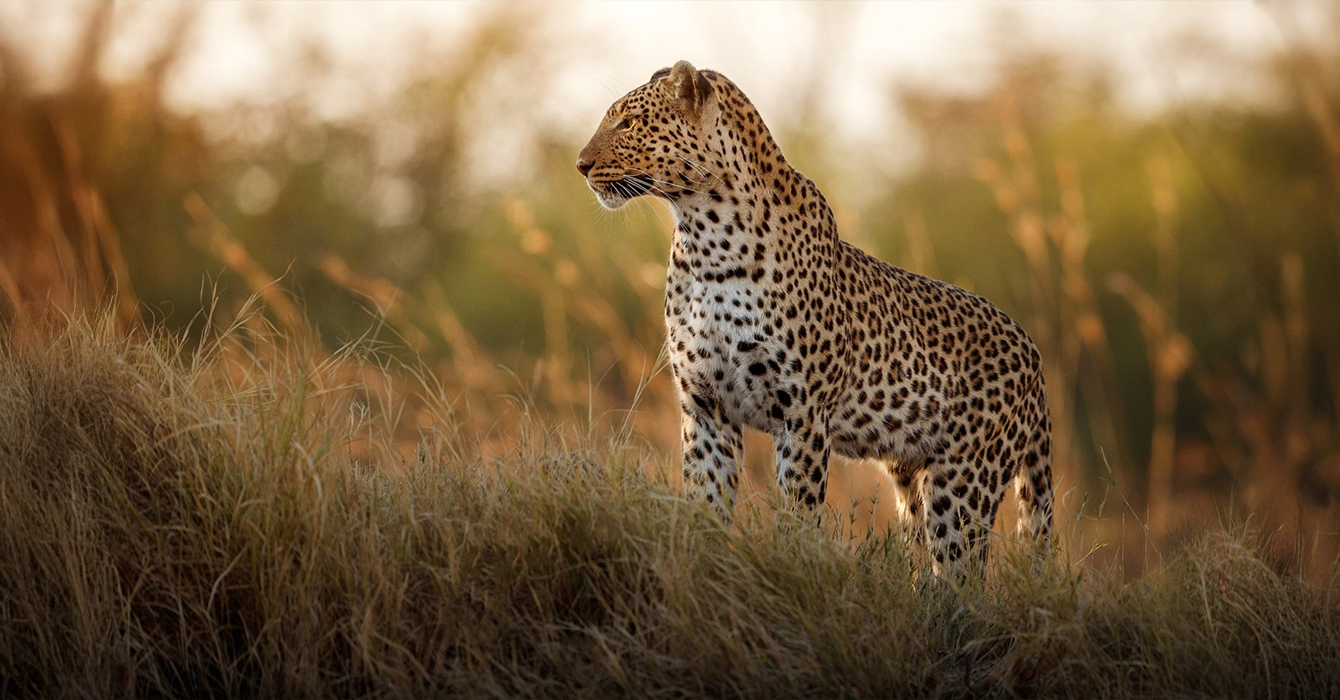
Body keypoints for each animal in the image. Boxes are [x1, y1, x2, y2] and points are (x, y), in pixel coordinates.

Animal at [578, 58, 1055, 571]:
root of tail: (1033, 353)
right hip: (912, 478)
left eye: (628, 123)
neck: (706, 238)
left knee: (960, 571)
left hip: (965, 481)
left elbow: (798, 514)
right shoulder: (706, 407)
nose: (581, 165)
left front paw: (791, 566)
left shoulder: (802, 413)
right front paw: (701, 568)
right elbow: (704, 507)